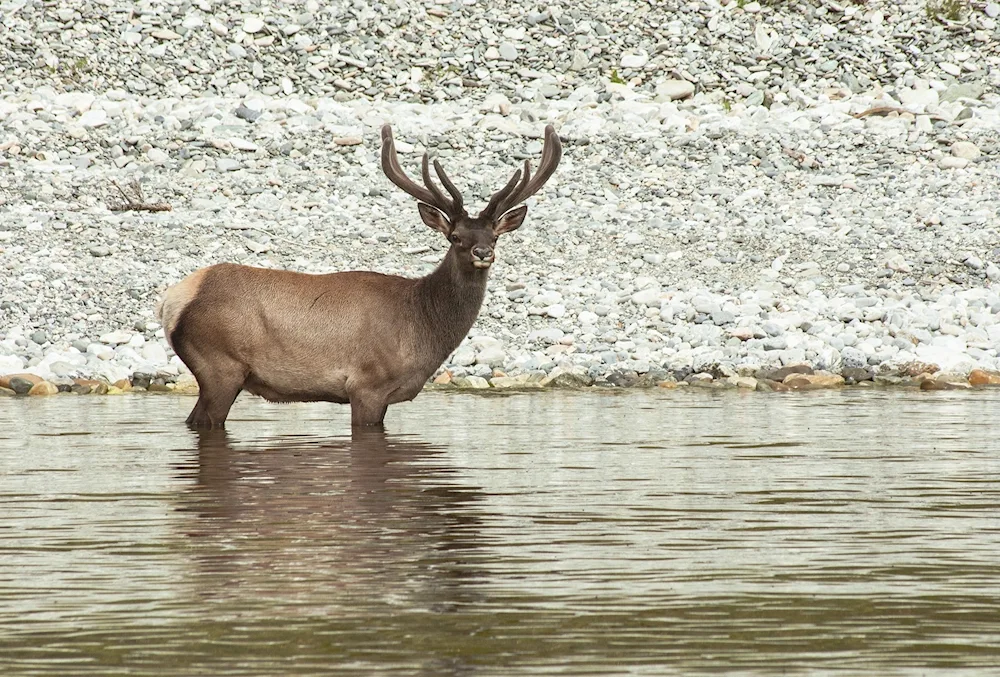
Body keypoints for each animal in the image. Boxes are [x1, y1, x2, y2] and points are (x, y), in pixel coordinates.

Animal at [157, 123, 564, 426]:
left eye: (494, 235)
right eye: (455, 237)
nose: (483, 253)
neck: (421, 327)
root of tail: (173, 300)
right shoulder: (367, 385)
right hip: (220, 366)